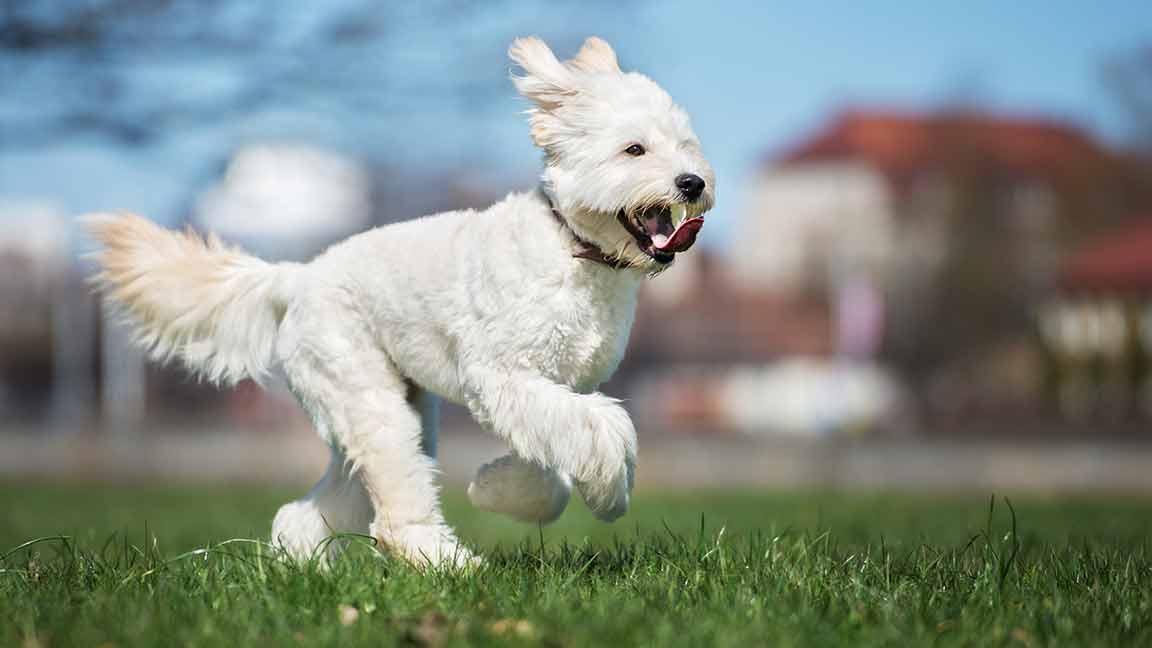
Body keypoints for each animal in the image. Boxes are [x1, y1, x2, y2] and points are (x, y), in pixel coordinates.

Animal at [85, 36, 709, 564]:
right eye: (634, 149)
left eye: (686, 145)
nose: (693, 182)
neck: (570, 248)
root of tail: (298, 278)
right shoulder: (504, 377)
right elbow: (604, 428)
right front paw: (608, 489)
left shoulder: (554, 389)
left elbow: (551, 466)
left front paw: (494, 488)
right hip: (368, 397)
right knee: (390, 512)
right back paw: (450, 566)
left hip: (384, 411)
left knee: (314, 509)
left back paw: (306, 564)